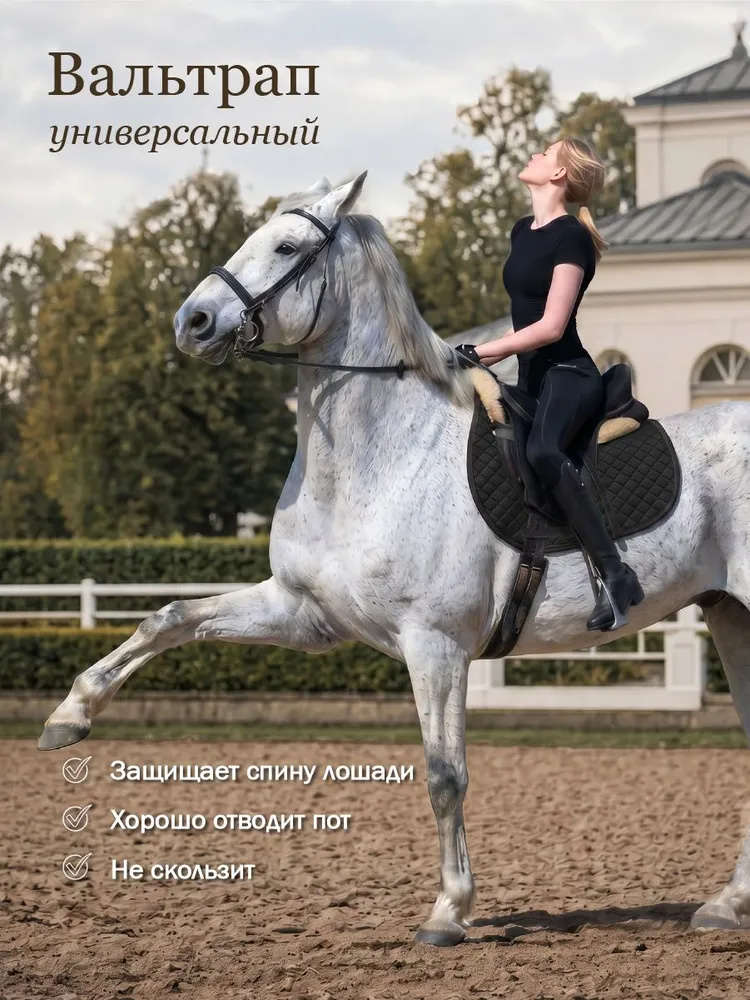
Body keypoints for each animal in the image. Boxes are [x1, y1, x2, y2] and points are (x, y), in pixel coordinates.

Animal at [38, 171, 750, 944]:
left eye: (286, 246)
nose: (192, 321)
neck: (379, 457)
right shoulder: (304, 615)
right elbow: (169, 618)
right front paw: (70, 714)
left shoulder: (435, 644)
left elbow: (444, 775)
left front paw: (449, 911)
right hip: (729, 618)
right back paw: (725, 905)